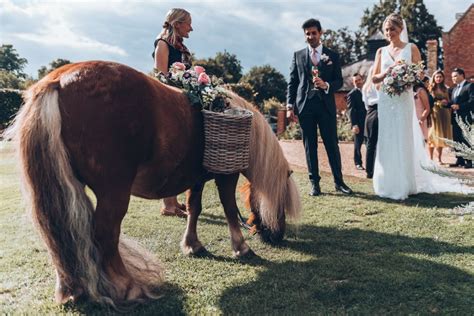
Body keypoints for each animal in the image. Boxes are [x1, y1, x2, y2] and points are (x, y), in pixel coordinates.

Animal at [5, 61, 300, 306]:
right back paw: (126, 287)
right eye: (282, 202)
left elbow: (194, 208)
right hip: (114, 193)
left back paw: (72, 289)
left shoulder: (197, 179)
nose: (278, 236)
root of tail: (58, 79)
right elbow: (228, 209)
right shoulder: (226, 176)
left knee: (61, 235)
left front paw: (193, 245)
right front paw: (241, 247)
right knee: (103, 234)